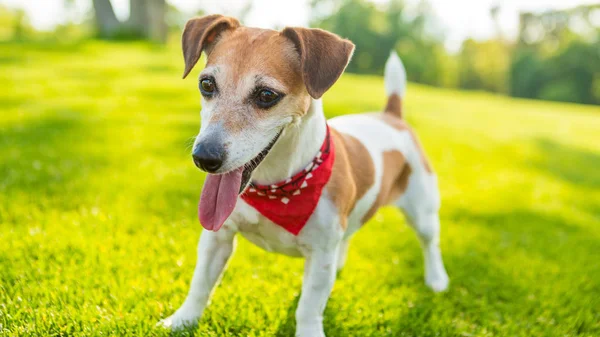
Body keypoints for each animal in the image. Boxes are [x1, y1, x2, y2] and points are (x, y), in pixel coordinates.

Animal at [157, 14, 448, 334]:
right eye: (206, 84)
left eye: (266, 95)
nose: (204, 157)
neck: (276, 187)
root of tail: (390, 116)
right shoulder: (218, 237)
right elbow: (200, 284)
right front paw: (182, 319)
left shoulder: (320, 256)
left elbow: (309, 307)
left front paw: (308, 330)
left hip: (423, 210)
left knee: (430, 242)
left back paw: (436, 279)